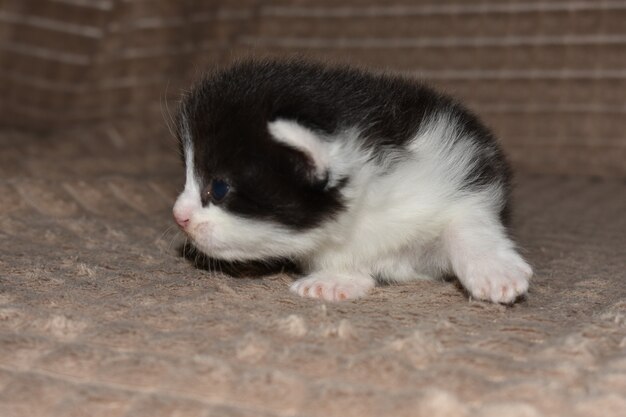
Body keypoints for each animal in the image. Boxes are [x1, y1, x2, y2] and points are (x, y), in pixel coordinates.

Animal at [172, 59, 532, 302]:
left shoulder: (460, 169)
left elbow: (466, 220)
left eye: (219, 189)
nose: (179, 217)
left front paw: (494, 271)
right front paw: (336, 278)